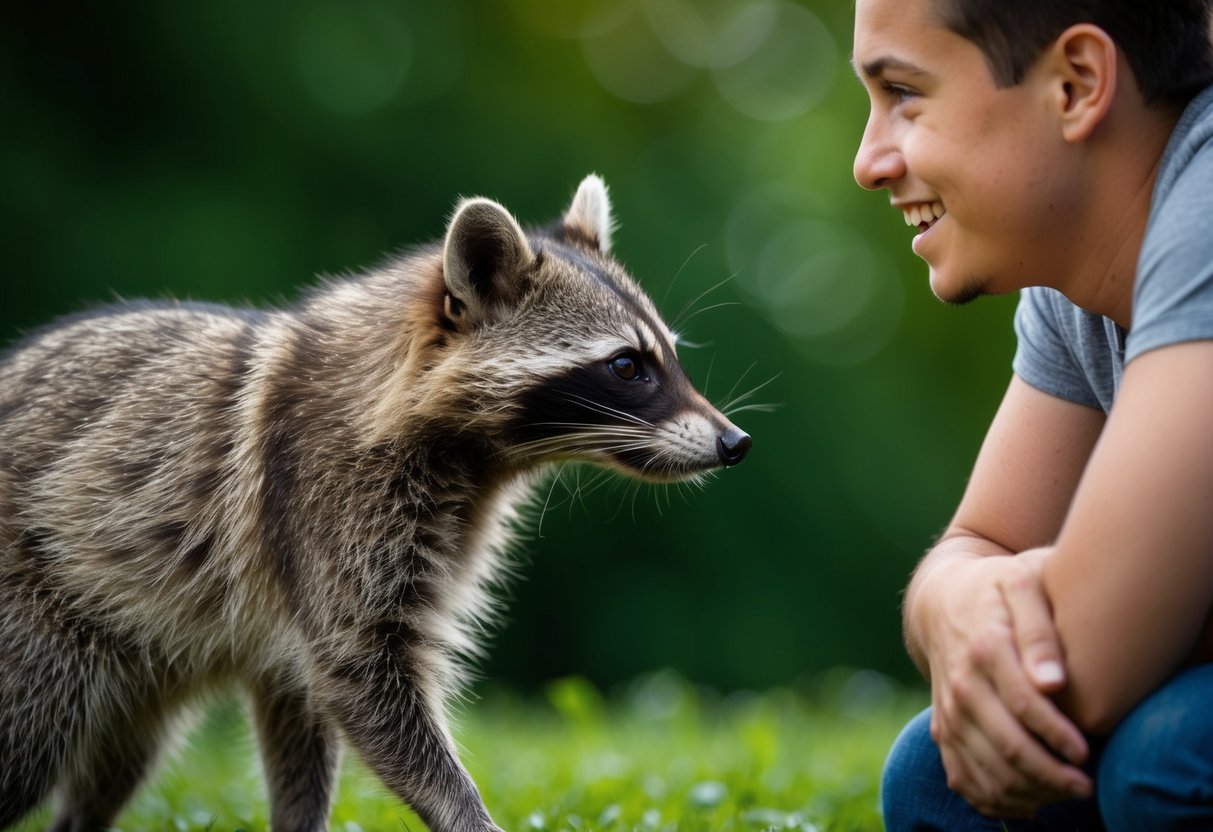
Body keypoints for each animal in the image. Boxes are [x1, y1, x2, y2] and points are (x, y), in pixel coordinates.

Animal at [0, 175, 750, 832]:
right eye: (627, 366)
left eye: (669, 356)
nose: (735, 442)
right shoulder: (320, 502)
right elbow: (358, 673)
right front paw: (464, 812)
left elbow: (299, 708)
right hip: (35, 624)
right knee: (24, 748)